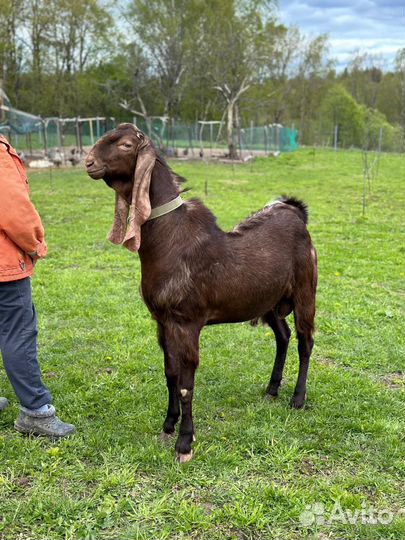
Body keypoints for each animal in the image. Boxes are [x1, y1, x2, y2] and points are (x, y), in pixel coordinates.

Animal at [84, 124, 316, 462]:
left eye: (126, 145)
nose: (88, 162)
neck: (170, 241)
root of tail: (296, 214)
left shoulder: (187, 322)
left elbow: (186, 383)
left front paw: (185, 443)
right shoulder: (162, 321)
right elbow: (170, 374)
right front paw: (168, 425)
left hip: (305, 290)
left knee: (305, 341)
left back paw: (297, 399)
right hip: (270, 302)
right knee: (283, 336)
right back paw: (272, 390)